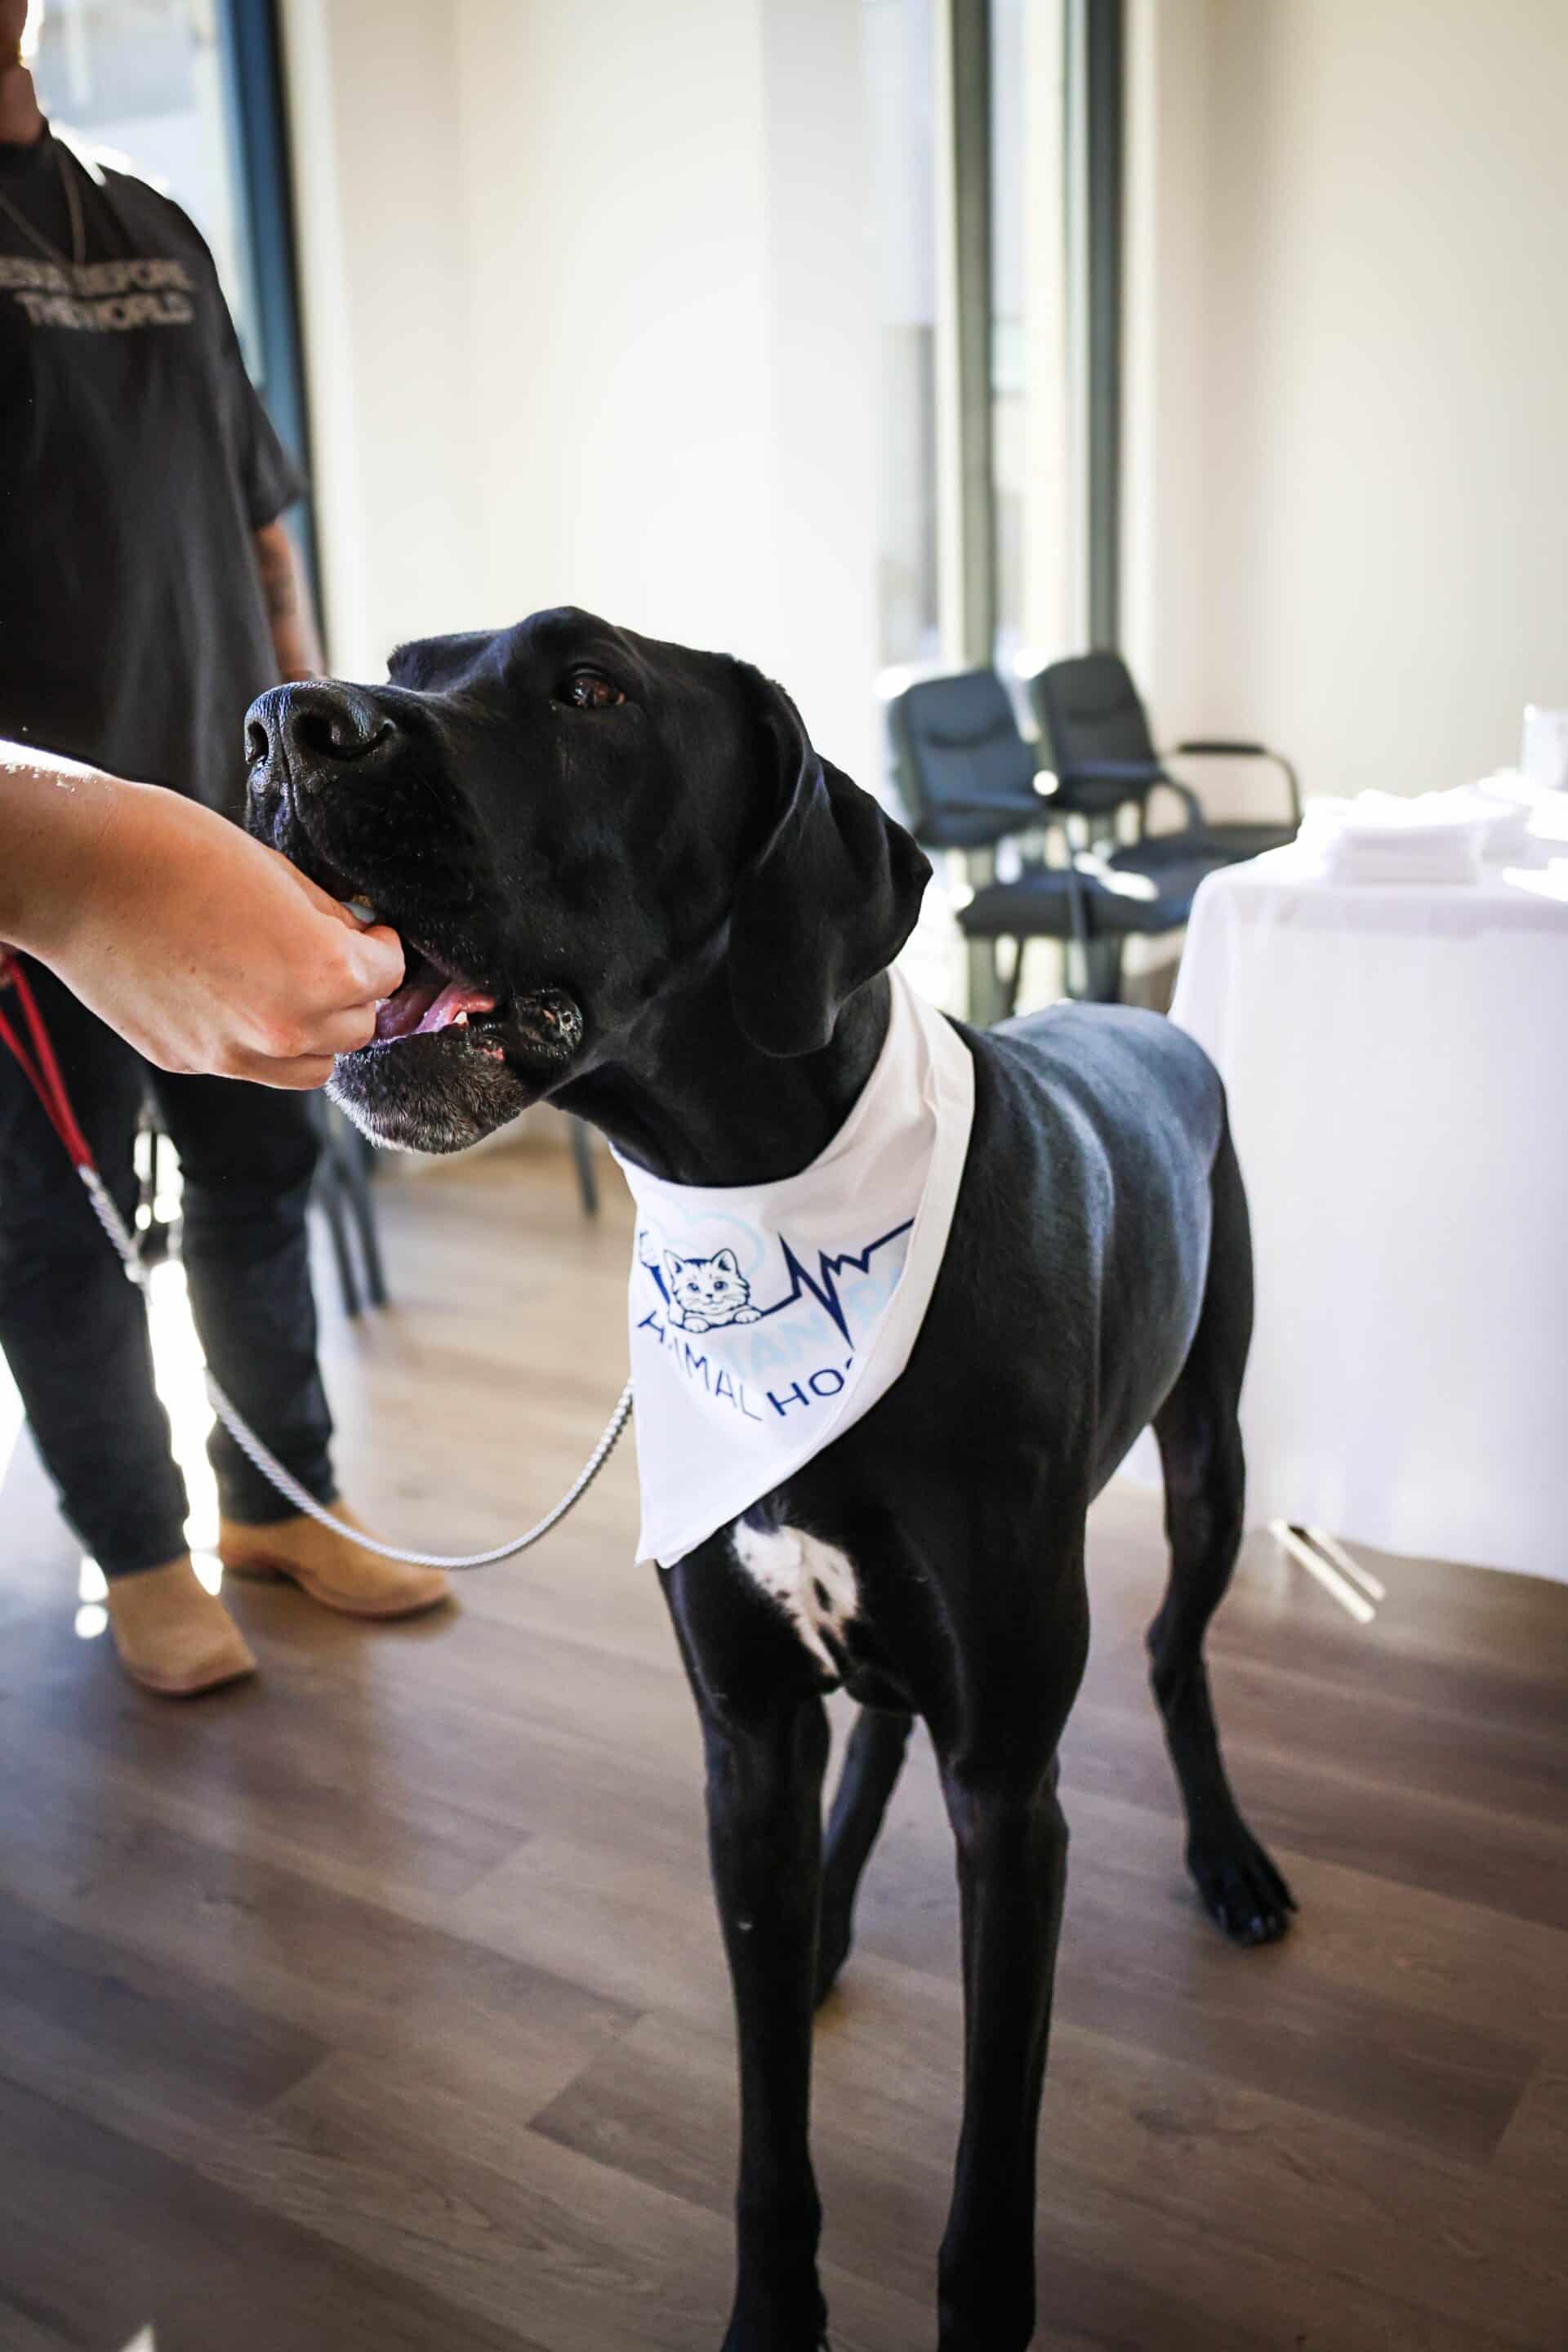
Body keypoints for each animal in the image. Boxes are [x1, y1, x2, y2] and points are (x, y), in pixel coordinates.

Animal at [246, 608, 1295, 2352]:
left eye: (589, 686)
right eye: (411, 657)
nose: (276, 725)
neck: (767, 1208)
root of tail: (1143, 1011)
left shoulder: (1012, 1797)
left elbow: (989, 2180)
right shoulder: (743, 1747)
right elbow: (765, 2130)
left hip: (1208, 1454)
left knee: (1171, 1652)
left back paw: (1227, 1857)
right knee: (878, 1724)